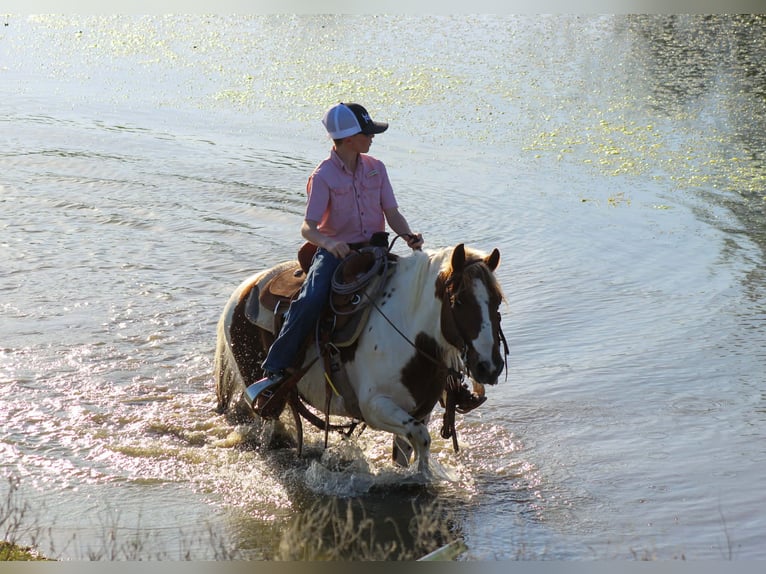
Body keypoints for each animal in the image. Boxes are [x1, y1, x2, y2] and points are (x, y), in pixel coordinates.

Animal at [213, 242, 506, 476]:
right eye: (457, 301)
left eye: (497, 300)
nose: (489, 367)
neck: (408, 330)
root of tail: (244, 289)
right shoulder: (374, 406)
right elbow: (422, 440)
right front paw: (425, 476)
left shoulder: (419, 411)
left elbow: (407, 448)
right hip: (258, 382)